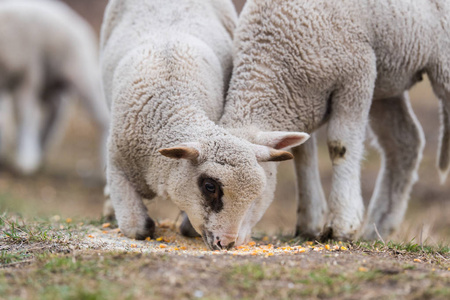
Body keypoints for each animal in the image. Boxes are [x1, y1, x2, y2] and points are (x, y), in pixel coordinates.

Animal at [0, 0, 110, 175]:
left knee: (101, 115)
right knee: (56, 109)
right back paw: (42, 146)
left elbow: (23, 116)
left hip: (81, 72)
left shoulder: (28, 75)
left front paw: (25, 160)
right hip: (51, 81)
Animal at [221, 0, 450, 240]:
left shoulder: (356, 74)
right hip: (386, 79)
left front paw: (341, 224)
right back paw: (377, 229)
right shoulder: (301, 102)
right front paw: (309, 221)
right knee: (404, 142)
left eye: (257, 189)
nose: (228, 241)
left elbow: (340, 145)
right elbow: (302, 154)